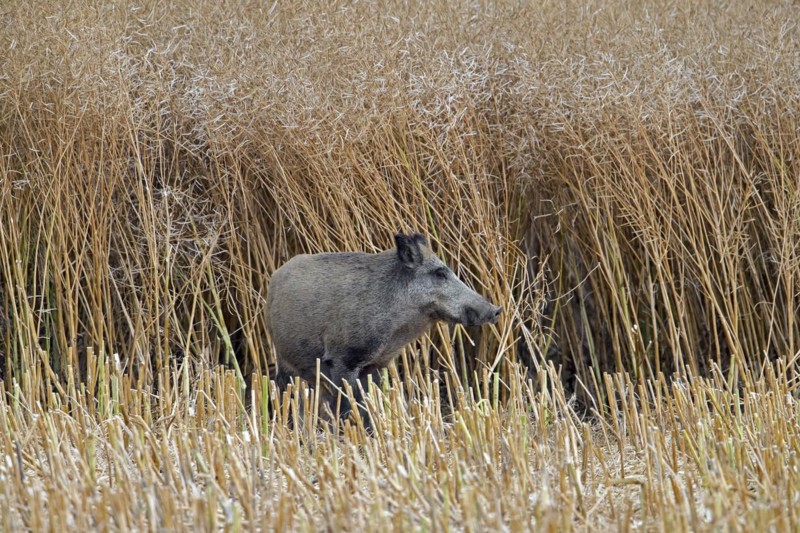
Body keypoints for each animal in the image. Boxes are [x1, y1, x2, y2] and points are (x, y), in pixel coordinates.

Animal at [266, 232, 501, 419]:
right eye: (440, 273)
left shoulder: (375, 364)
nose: (496, 310)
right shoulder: (342, 358)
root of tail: (275, 276)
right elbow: (345, 406)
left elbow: (368, 404)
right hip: (285, 358)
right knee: (284, 388)